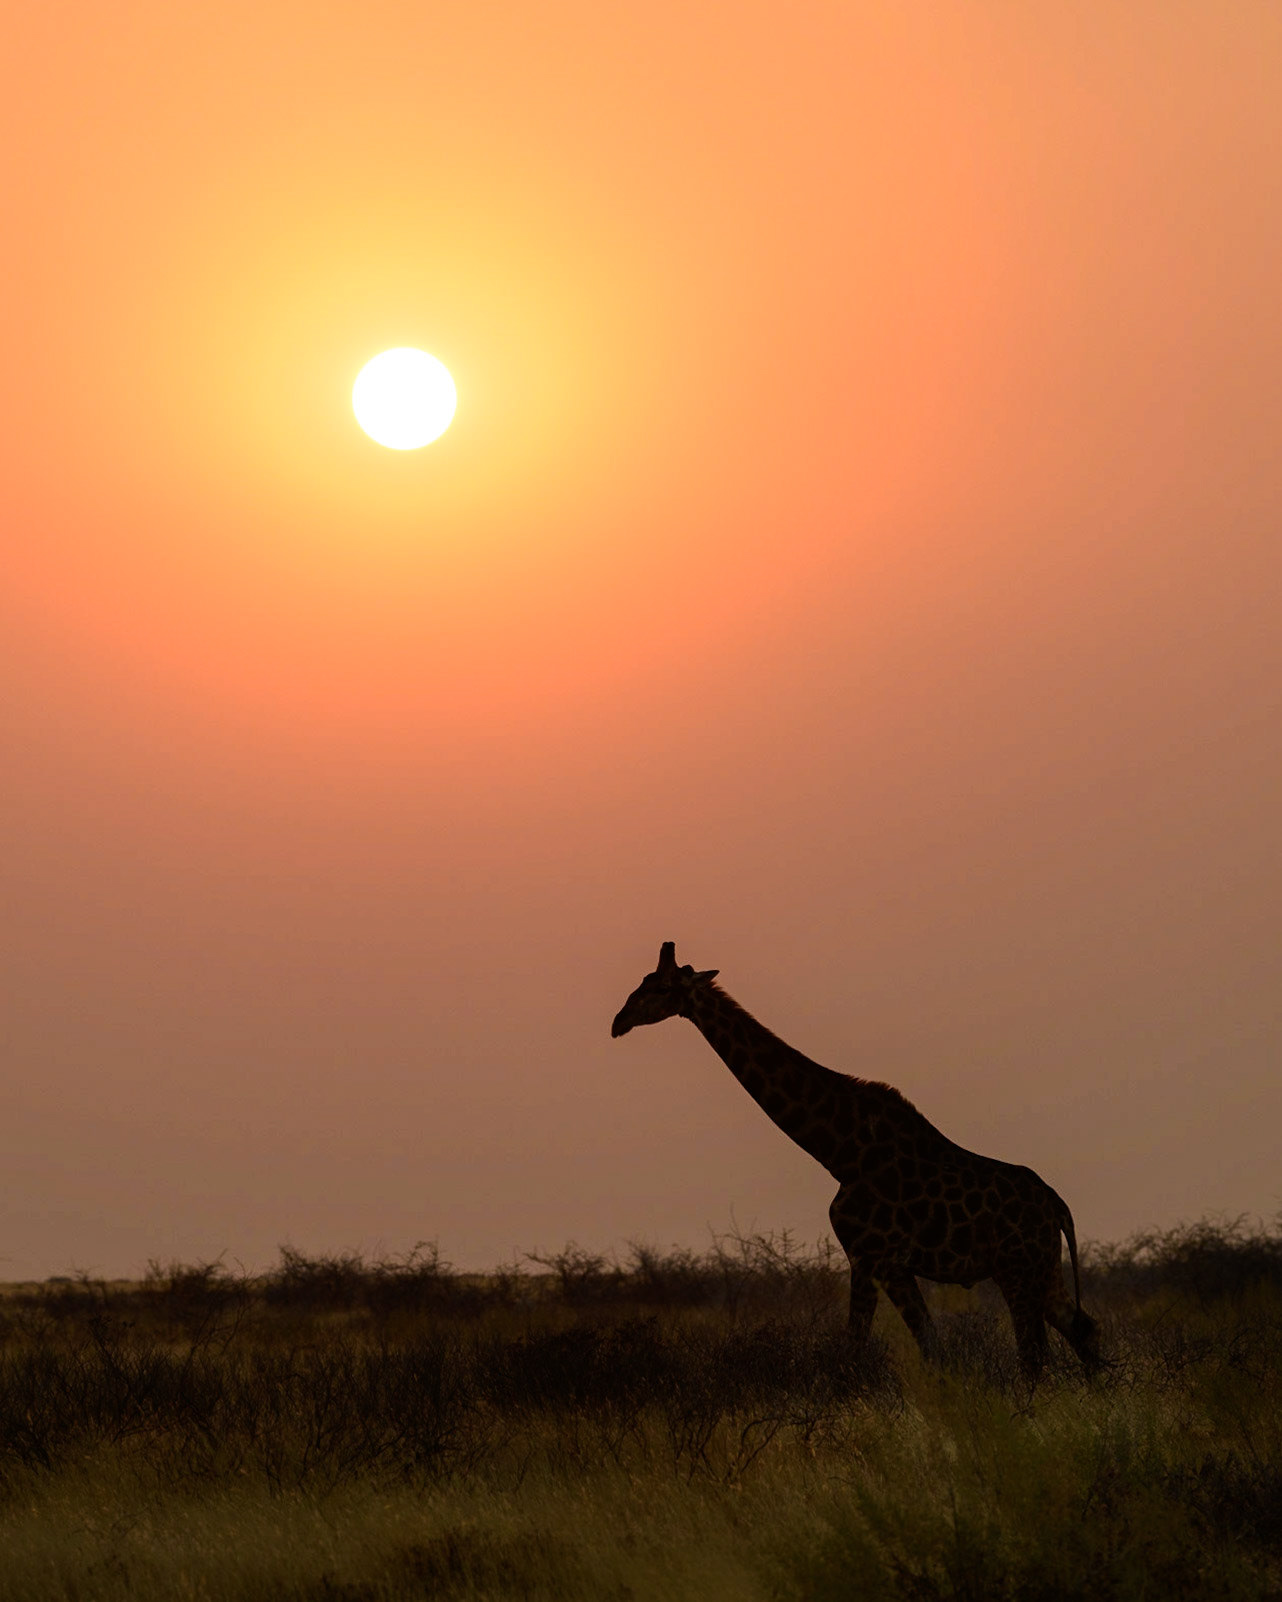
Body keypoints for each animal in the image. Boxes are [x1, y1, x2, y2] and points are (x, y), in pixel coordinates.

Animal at [611, 942, 1100, 1381]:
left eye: (660, 986)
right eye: (642, 980)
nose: (618, 1022)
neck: (839, 1151)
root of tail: (1058, 1206)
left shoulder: (868, 1255)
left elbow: (857, 1350)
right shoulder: (888, 1264)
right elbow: (931, 1346)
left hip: (1016, 1269)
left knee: (1034, 1354)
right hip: (1042, 1268)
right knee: (1083, 1329)